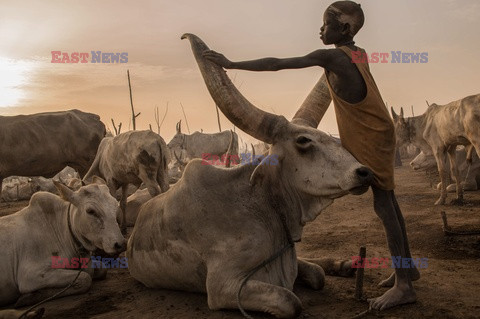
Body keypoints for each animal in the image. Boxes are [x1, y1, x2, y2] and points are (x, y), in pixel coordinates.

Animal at [0, 179, 125, 308]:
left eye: (115, 205)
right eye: (91, 211)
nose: (120, 244)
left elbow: (101, 269)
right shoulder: (30, 276)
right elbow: (85, 278)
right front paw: (28, 297)